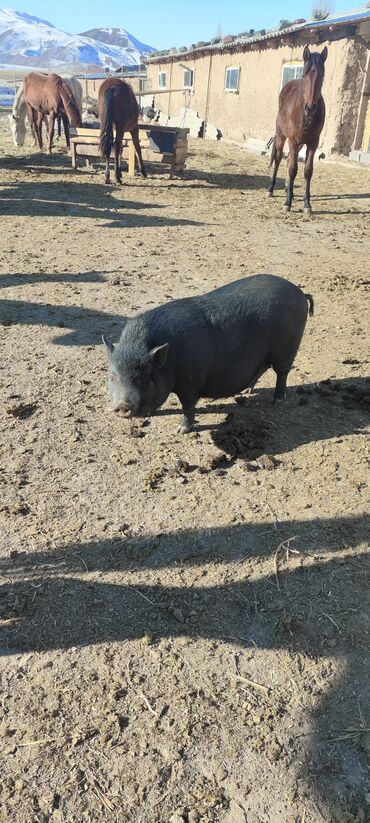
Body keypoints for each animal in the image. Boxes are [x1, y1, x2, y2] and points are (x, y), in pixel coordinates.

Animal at [102, 276, 314, 434]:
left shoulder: (191, 383)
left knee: (282, 373)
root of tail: (300, 292)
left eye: (144, 378)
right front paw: (148, 415)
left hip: (287, 348)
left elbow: (188, 406)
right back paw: (246, 391)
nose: (122, 405)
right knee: (262, 368)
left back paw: (277, 400)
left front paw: (181, 431)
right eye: (112, 375)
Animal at [268, 45, 326, 216]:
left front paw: (307, 204)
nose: (310, 108)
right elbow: (293, 169)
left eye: (322, 75)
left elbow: (307, 171)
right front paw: (287, 203)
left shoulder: (312, 143)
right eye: (304, 74)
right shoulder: (293, 140)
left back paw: (290, 191)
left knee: (288, 161)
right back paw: (272, 189)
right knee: (279, 159)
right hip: (281, 136)